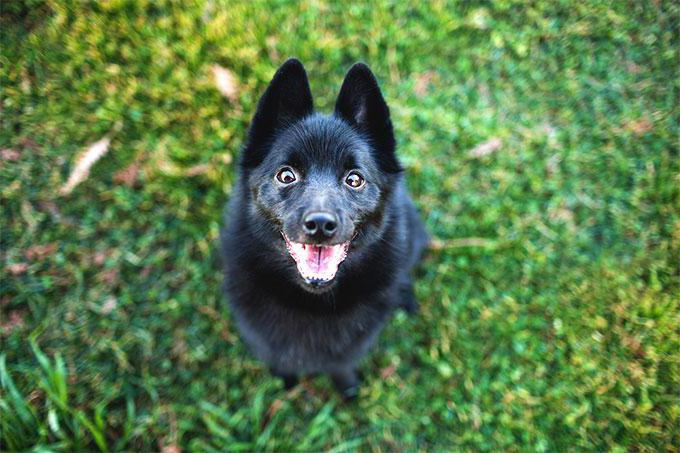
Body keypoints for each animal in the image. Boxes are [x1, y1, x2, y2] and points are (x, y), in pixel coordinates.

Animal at [220, 58, 428, 398]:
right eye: (286, 175)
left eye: (354, 179)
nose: (320, 224)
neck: (312, 303)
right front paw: (286, 379)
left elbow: (341, 365)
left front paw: (347, 388)